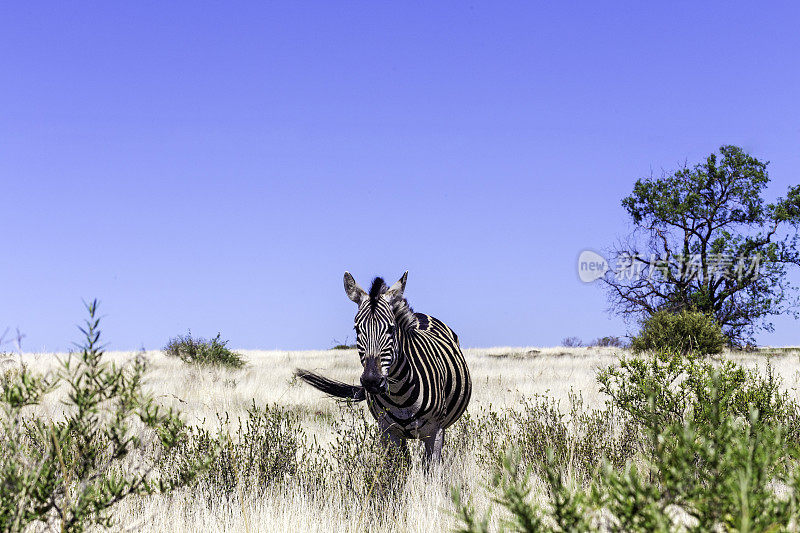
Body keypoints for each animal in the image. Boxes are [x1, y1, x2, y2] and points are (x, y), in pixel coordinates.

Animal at [296, 270, 472, 462]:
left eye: (391, 328)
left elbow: (432, 467)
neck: (400, 394)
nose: (372, 381)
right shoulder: (388, 432)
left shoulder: (435, 432)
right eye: (357, 329)